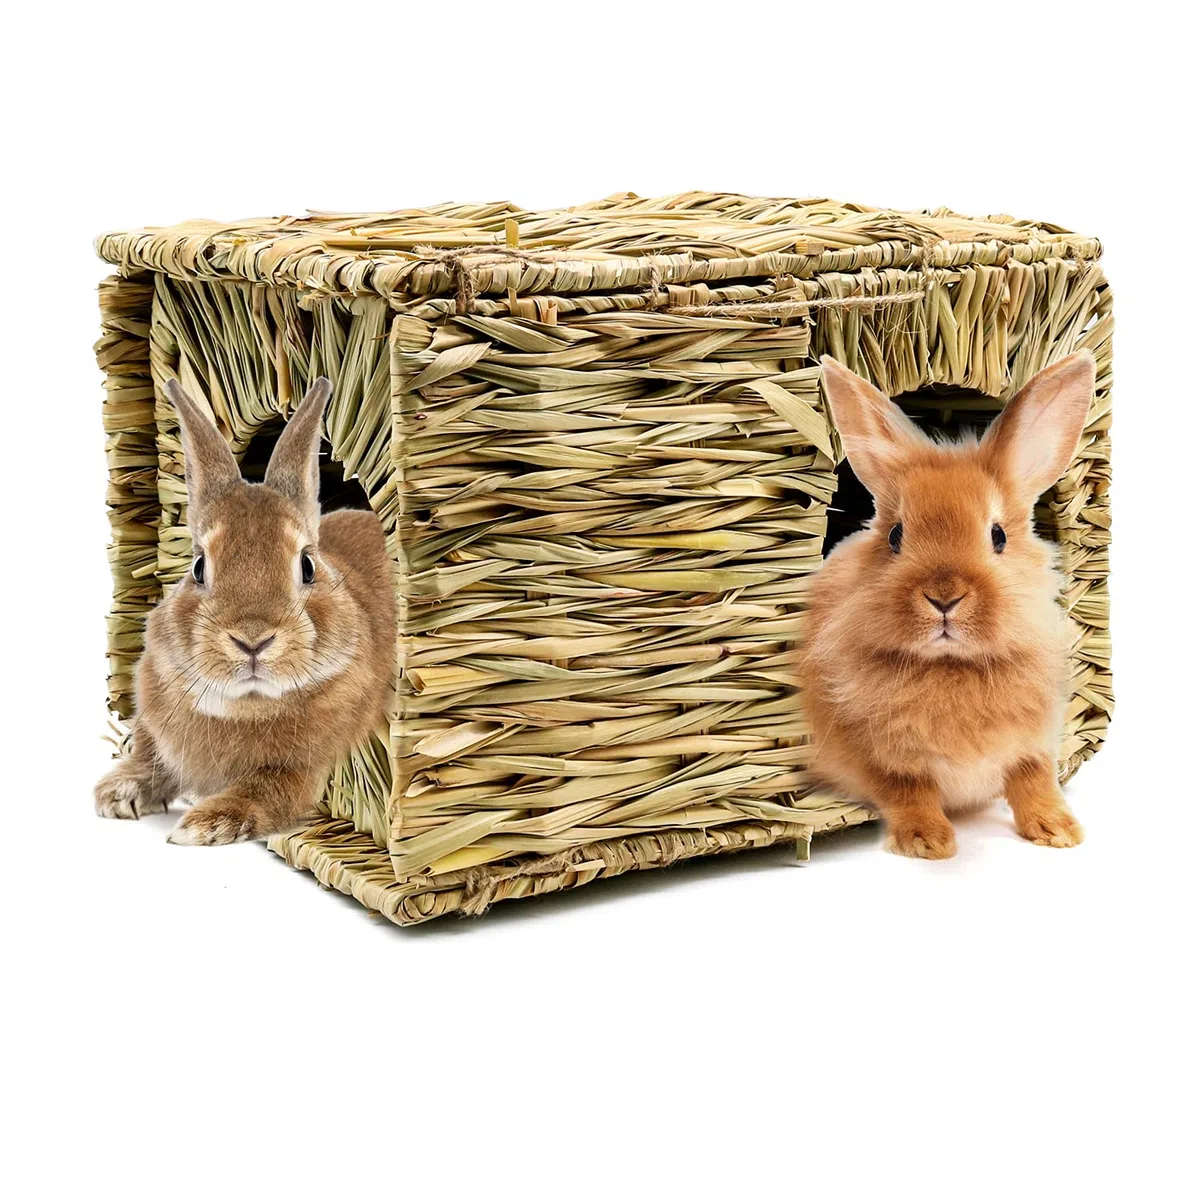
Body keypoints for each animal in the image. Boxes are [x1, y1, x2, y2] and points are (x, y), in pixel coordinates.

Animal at [94, 377, 396, 846]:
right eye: (199, 567)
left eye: (307, 566)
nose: (252, 640)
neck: (247, 706)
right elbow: (151, 757)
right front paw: (117, 793)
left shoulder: (301, 769)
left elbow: (265, 790)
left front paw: (203, 825)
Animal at [800, 352, 1097, 859]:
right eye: (895, 536)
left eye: (998, 536)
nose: (944, 597)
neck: (952, 666)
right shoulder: (880, 758)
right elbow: (908, 789)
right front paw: (928, 842)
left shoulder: (1034, 744)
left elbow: (1034, 780)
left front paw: (1059, 831)